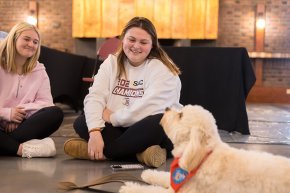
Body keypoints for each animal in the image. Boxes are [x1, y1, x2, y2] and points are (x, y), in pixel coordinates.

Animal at [119, 105, 290, 193]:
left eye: (180, 115)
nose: (167, 108)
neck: (203, 156)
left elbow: (151, 191)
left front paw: (130, 188)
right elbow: (165, 176)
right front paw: (149, 174)